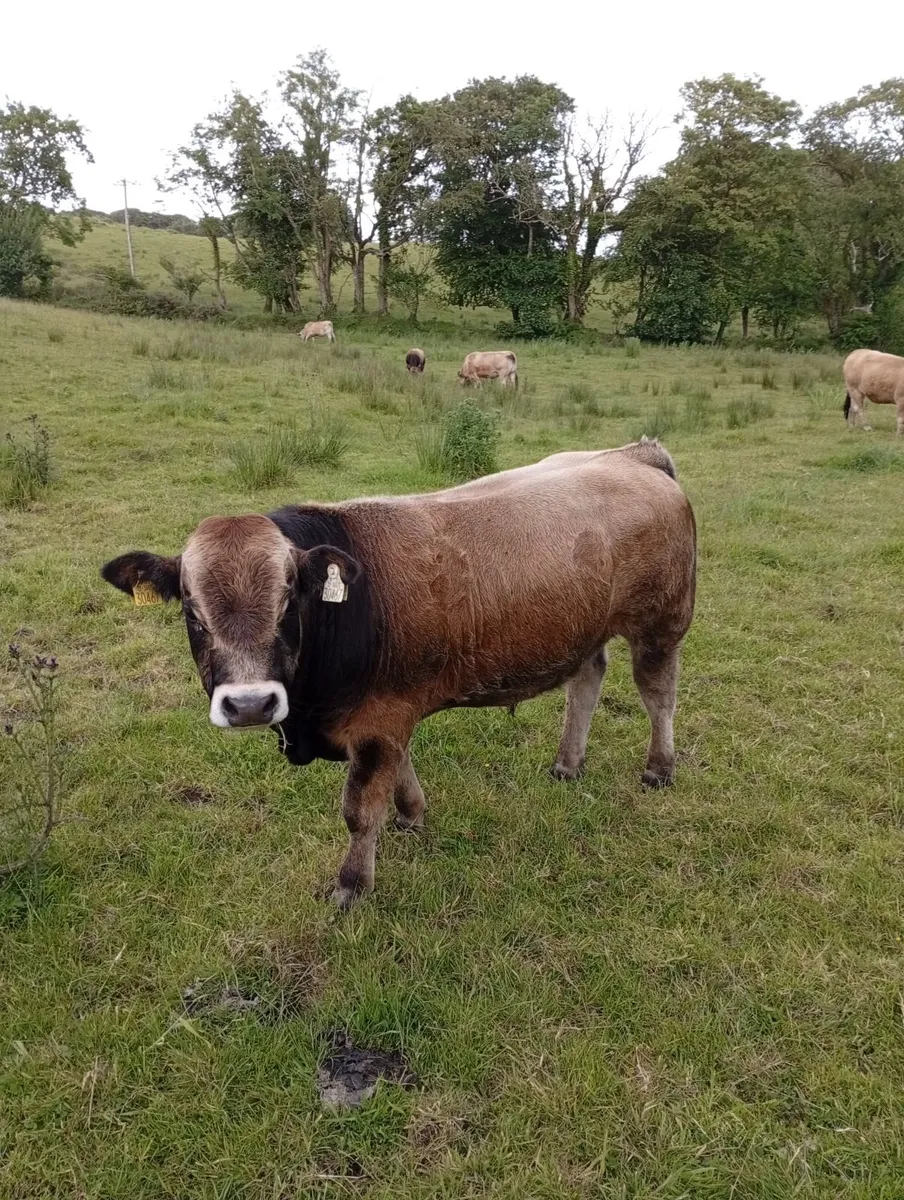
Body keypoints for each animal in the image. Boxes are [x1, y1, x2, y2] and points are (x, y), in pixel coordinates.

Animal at [101, 438, 696, 909]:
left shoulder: (378, 721)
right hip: (584, 630)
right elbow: (398, 774)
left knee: (658, 695)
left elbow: (360, 808)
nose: (250, 704)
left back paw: (659, 767)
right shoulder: (388, 715)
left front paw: (351, 885)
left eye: (289, 600)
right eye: (191, 611)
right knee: (587, 680)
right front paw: (412, 815)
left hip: (662, 622)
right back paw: (568, 763)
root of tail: (633, 456)